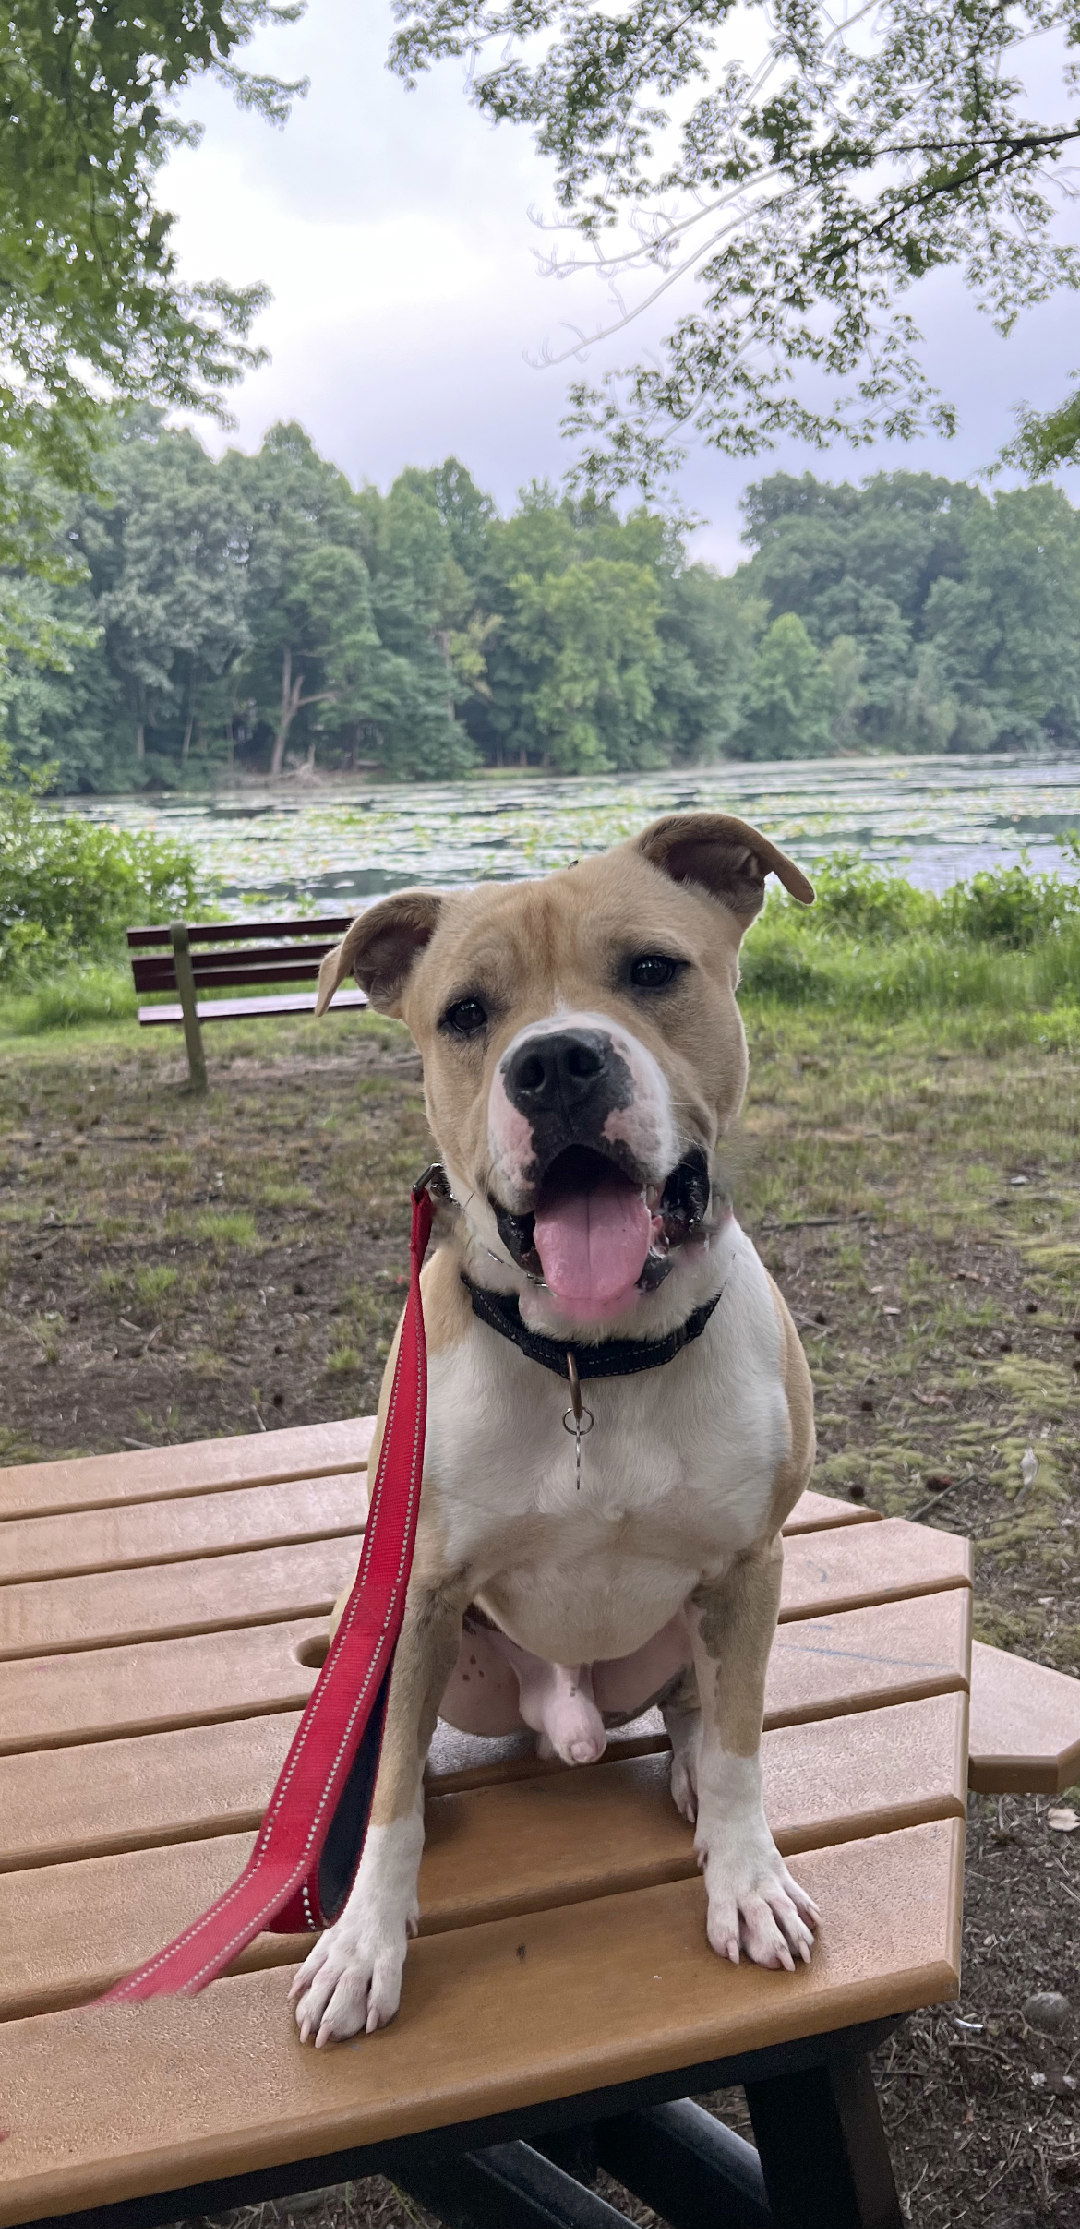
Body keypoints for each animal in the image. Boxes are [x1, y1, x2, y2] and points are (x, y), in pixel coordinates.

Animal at [287, 811, 815, 2041]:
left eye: (654, 970)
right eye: (464, 1014)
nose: (557, 1062)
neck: (591, 1358)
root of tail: (560, 1716)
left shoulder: (750, 1564)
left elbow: (741, 1747)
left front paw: (746, 1875)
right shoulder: (421, 1588)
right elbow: (388, 1793)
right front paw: (363, 1938)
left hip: (699, 1621)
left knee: (702, 1709)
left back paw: (690, 1777)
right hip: (373, 1633)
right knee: (388, 1735)